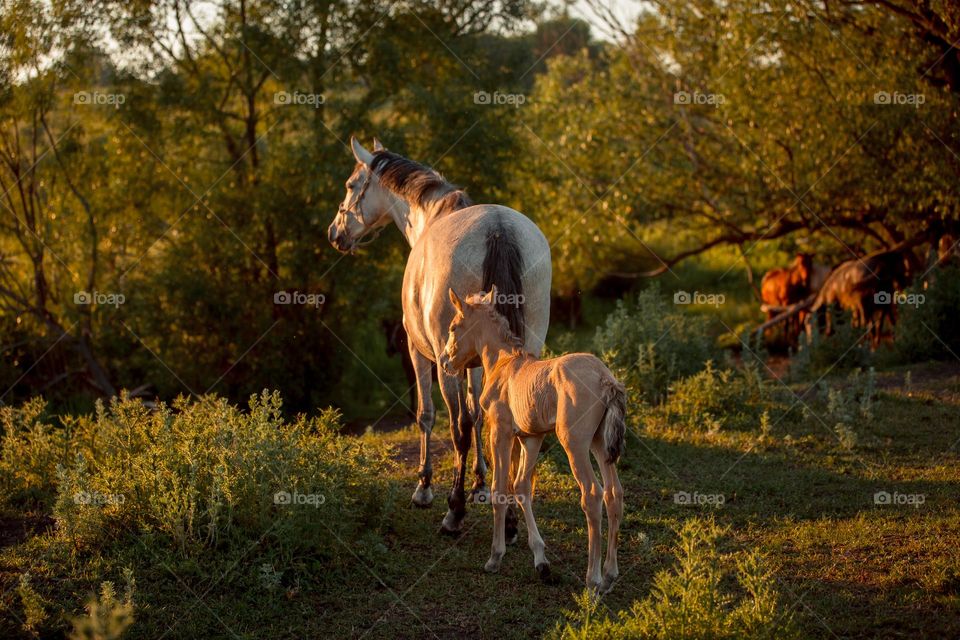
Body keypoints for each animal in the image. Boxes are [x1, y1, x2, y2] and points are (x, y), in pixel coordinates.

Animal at [326, 139, 552, 536]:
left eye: (351, 185)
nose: (335, 233)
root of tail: (498, 229)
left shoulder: (419, 352)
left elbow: (428, 415)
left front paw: (425, 486)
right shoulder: (478, 360)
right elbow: (479, 413)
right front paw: (481, 484)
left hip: (444, 367)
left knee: (456, 426)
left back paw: (454, 512)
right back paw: (508, 519)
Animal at [438, 288, 628, 592]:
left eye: (454, 327)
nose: (445, 362)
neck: (503, 364)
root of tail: (605, 379)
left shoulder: (501, 432)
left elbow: (499, 489)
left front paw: (495, 557)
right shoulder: (531, 437)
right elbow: (522, 487)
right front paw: (541, 561)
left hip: (575, 444)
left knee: (592, 494)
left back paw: (593, 579)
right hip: (600, 443)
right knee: (614, 493)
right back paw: (609, 574)